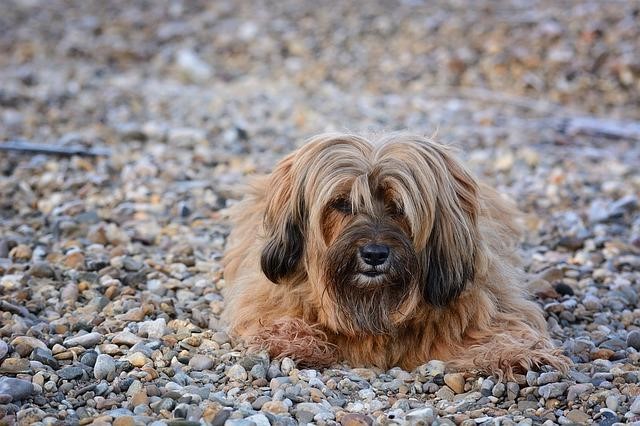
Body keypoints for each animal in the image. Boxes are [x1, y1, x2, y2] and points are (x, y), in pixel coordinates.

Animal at [222, 132, 568, 376]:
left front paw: (517, 353)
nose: (374, 254)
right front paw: (293, 340)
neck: (374, 303)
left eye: (399, 206)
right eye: (341, 203)